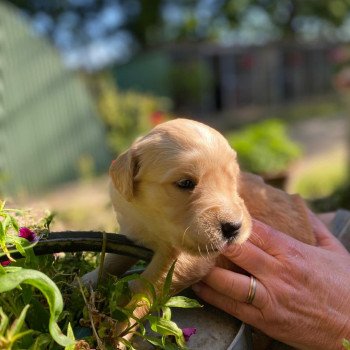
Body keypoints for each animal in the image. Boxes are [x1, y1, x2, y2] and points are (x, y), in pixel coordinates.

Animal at [82, 118, 314, 344]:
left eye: (232, 181)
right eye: (185, 183)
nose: (234, 227)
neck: (153, 221)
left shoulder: (187, 259)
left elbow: (143, 289)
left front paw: (119, 331)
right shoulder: (135, 233)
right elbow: (114, 259)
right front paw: (86, 281)